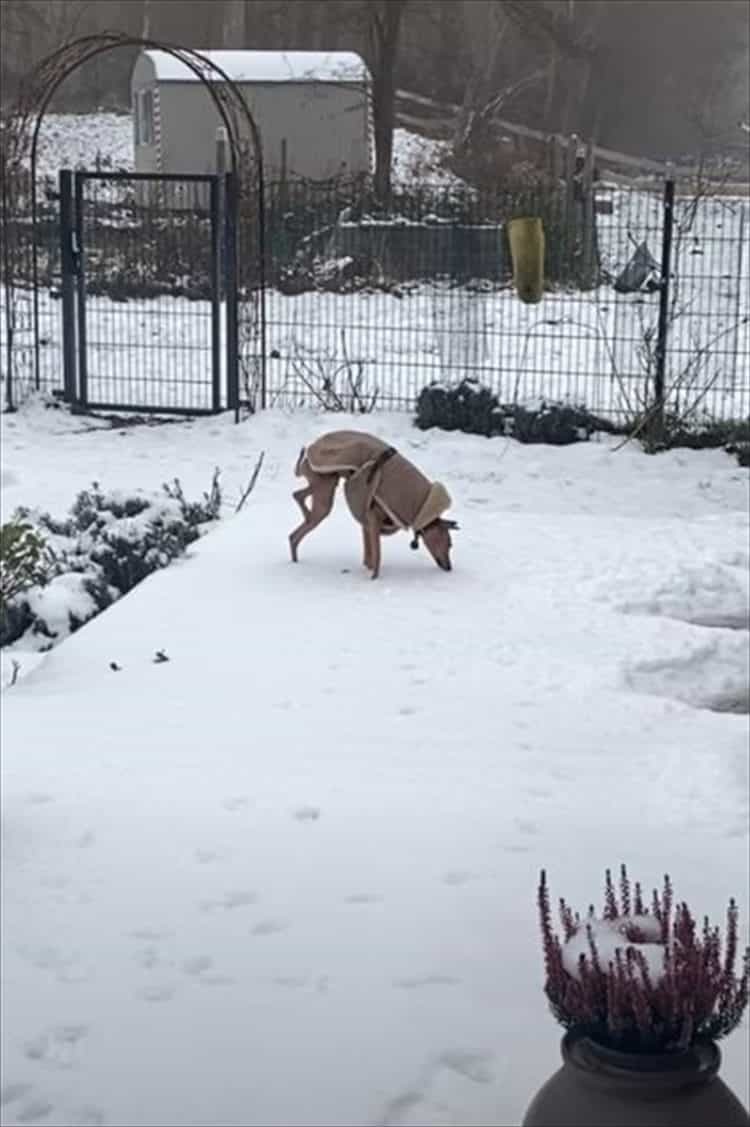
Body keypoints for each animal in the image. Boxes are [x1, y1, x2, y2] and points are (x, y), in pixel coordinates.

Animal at [288, 426, 455, 577]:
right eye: (449, 544)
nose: (449, 568)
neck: (422, 506)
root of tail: (310, 450)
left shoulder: (367, 521)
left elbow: (369, 555)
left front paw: (368, 568)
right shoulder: (373, 519)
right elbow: (377, 558)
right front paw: (374, 578)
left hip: (325, 484)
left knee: (297, 496)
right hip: (324, 491)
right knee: (297, 527)